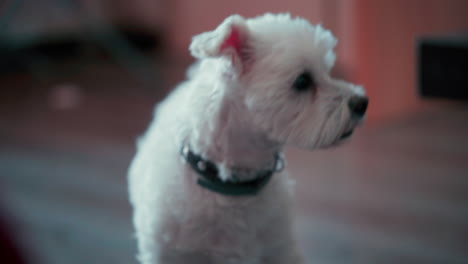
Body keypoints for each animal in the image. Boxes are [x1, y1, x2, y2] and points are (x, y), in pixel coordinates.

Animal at [127, 12, 366, 264]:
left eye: (327, 70)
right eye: (302, 81)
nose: (363, 103)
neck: (228, 182)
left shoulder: (281, 249)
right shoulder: (166, 253)